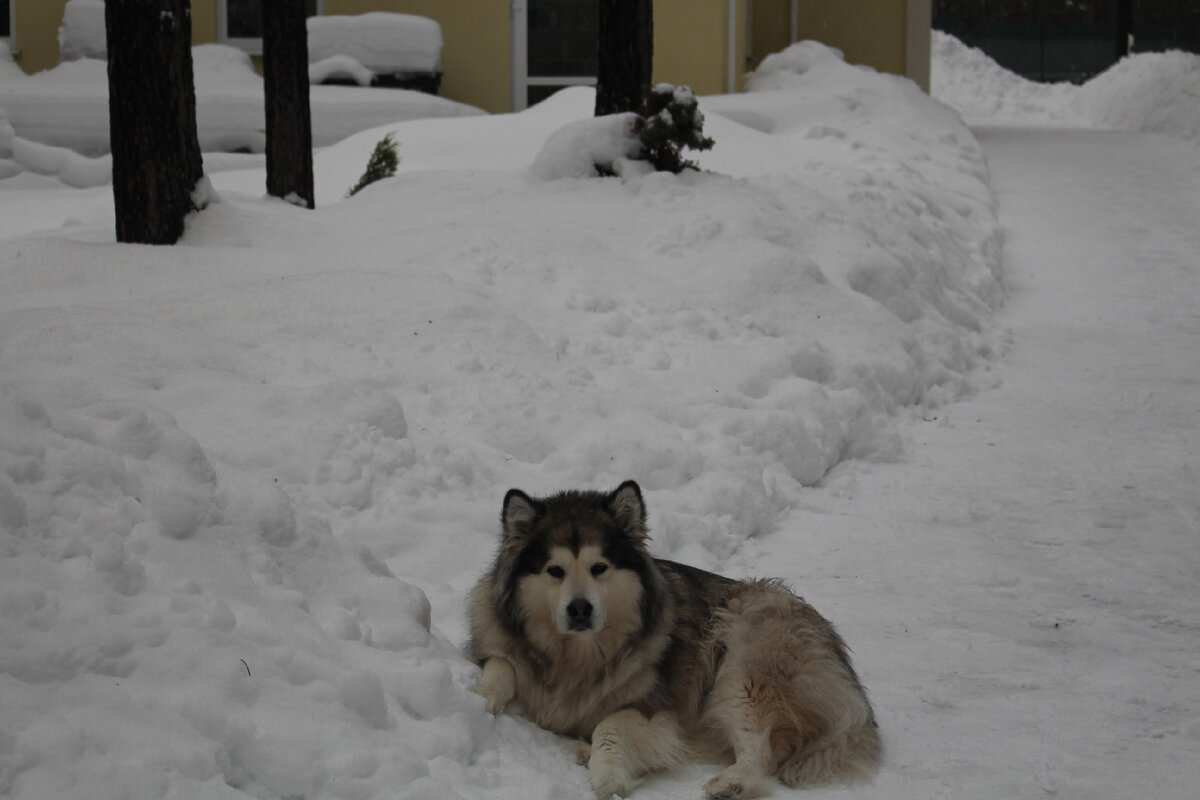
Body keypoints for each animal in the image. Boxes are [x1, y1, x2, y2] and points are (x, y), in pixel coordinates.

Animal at [468, 479, 883, 796]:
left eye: (599, 567)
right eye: (555, 570)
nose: (580, 609)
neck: (576, 656)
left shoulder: (656, 709)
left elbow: (609, 726)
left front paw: (607, 774)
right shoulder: (499, 642)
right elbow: (500, 669)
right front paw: (479, 700)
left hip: (743, 657)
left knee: (762, 750)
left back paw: (731, 783)